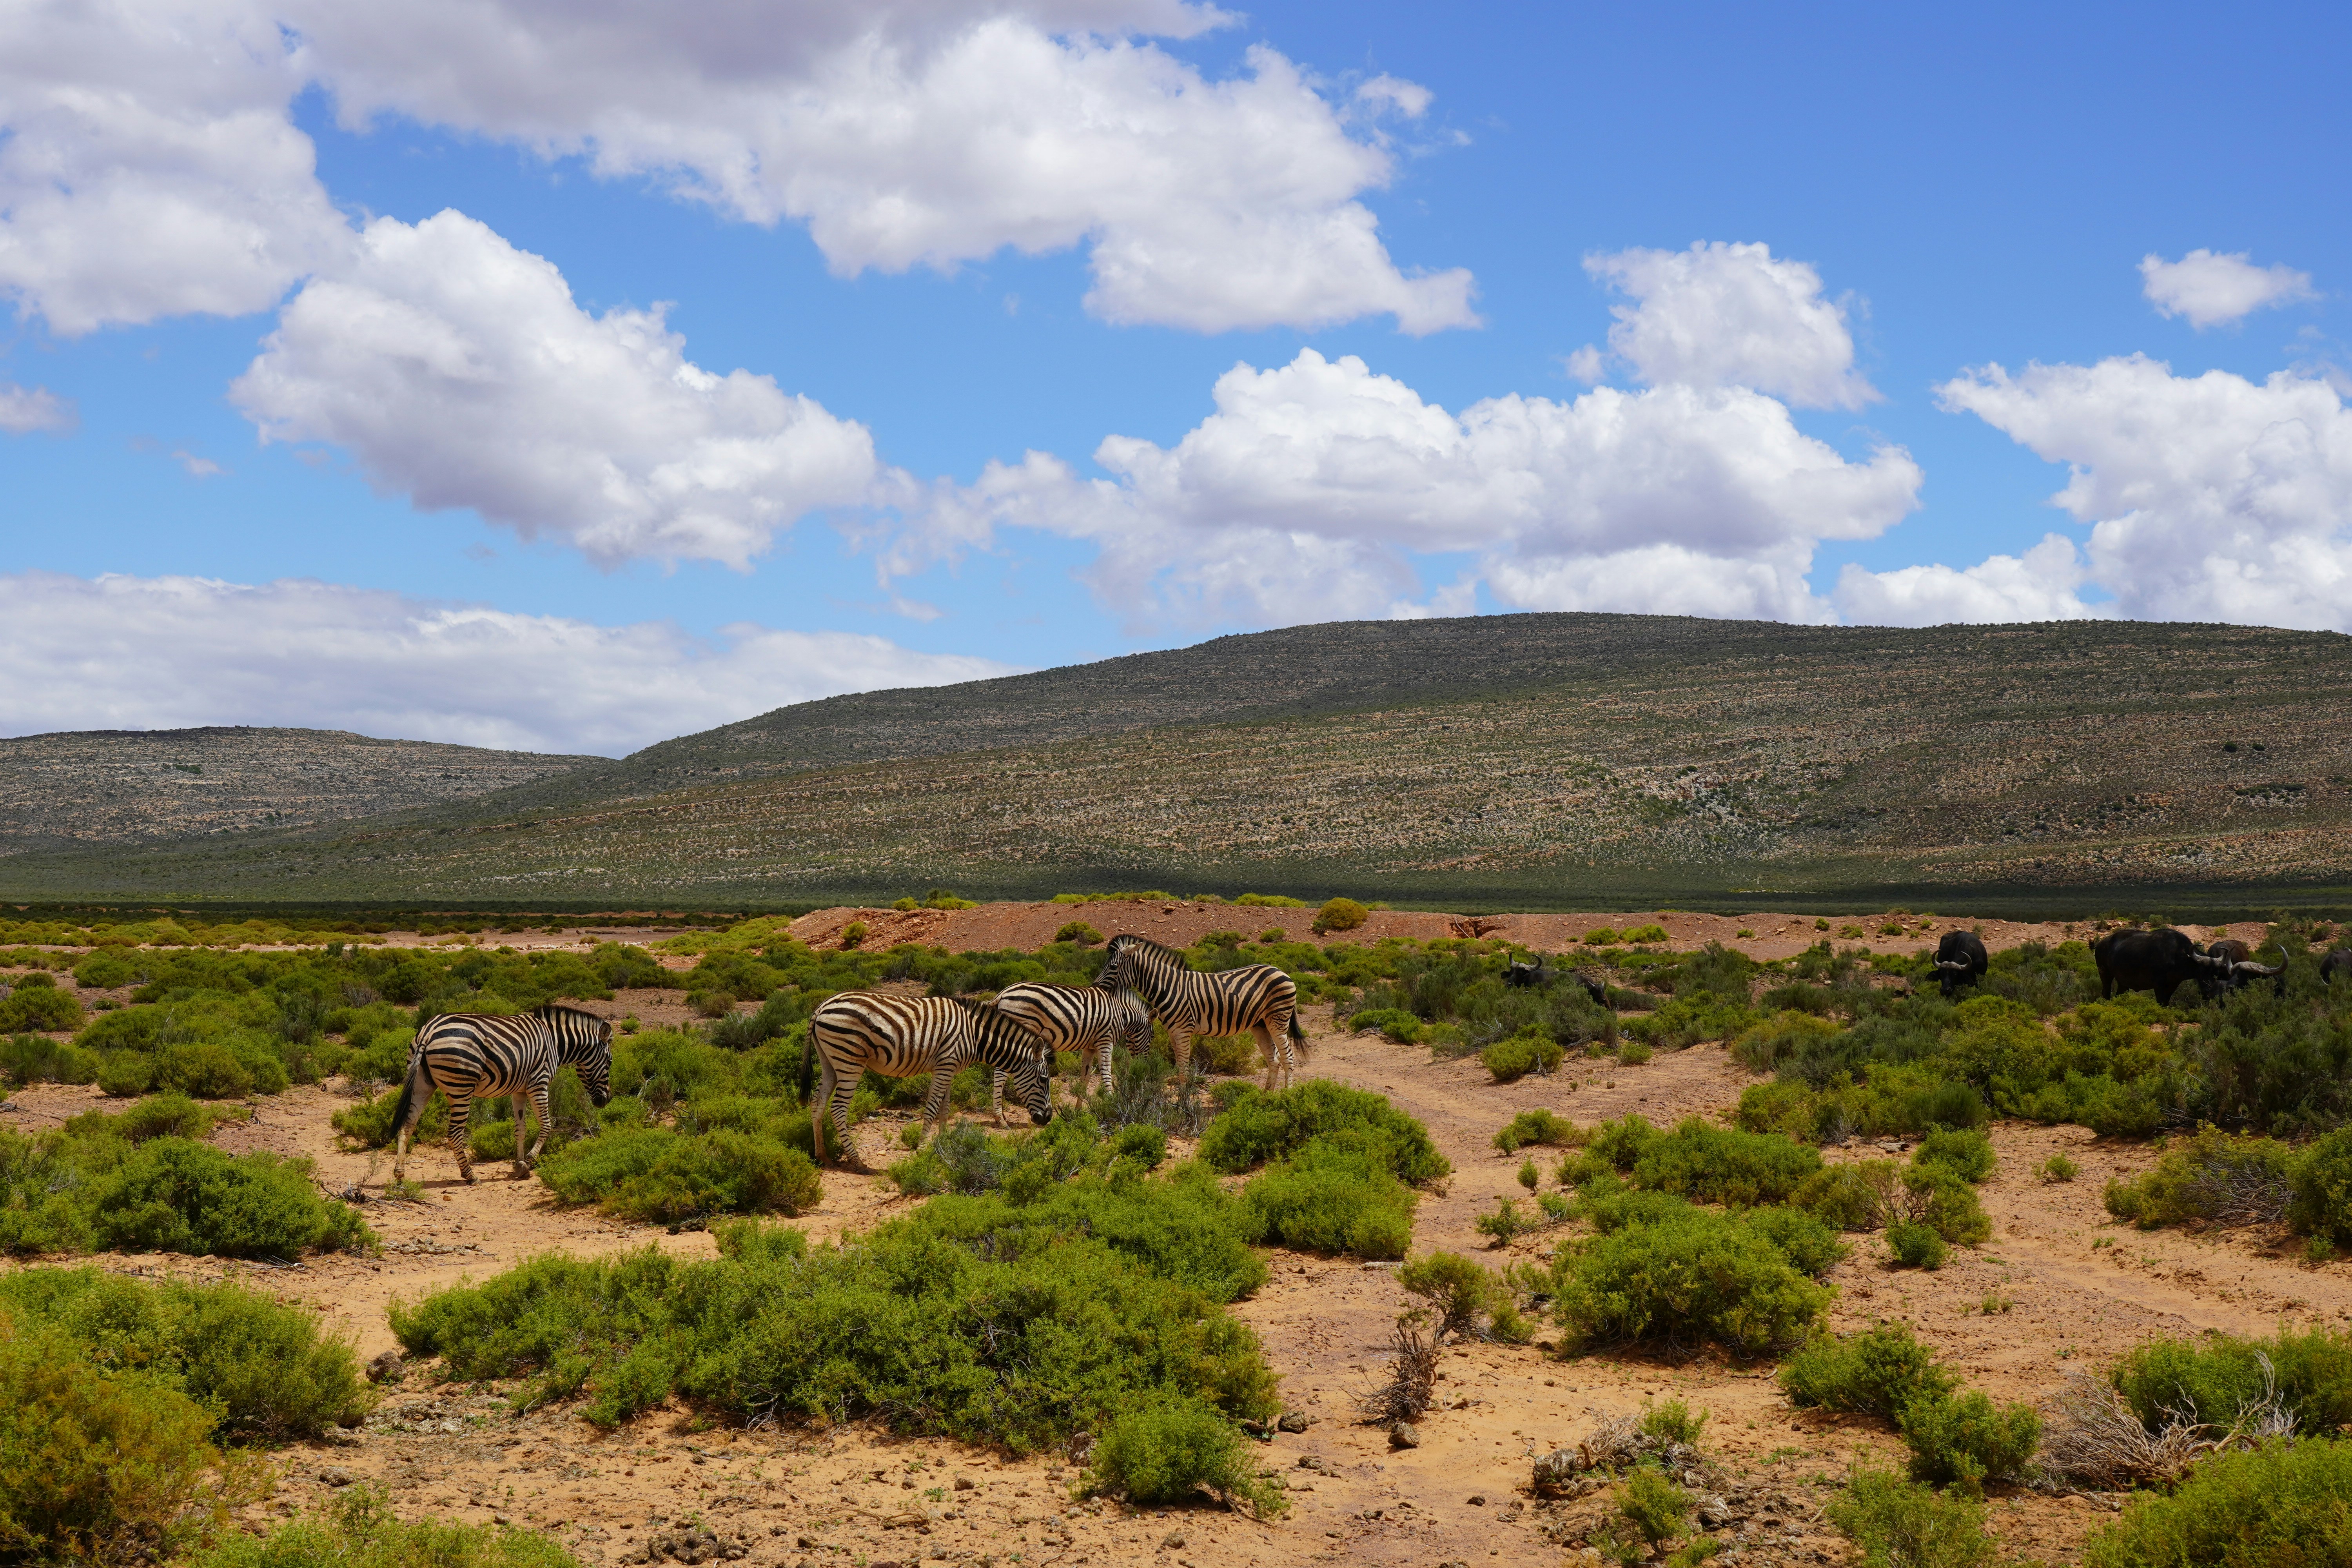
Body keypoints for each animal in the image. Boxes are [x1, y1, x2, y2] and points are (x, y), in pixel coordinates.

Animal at [390, 1003, 614, 1185]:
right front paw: (530, 1160)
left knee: (407, 1125)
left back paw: (400, 1173)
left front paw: (520, 1165)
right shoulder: (538, 1082)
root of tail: (429, 1029)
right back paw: (470, 1176)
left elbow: (520, 1129)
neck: (556, 1043)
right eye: (610, 1062)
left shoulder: (520, 1091)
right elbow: (547, 1125)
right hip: (462, 1087)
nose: (606, 1101)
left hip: (422, 1084)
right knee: (454, 1133)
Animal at [798, 992, 1052, 1165]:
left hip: (830, 1061)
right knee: (838, 1109)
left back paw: (822, 1156)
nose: (1048, 1119)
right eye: (1043, 1080)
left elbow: (945, 1110)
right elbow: (931, 1109)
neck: (975, 1035)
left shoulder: (949, 1068)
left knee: (818, 1103)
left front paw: (946, 1144)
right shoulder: (945, 1065)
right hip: (850, 1061)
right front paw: (922, 1149)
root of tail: (821, 1007)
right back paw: (857, 1161)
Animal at [988, 980, 1151, 1120]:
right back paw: (1000, 1119)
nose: (1145, 1065)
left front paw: (1077, 1112)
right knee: (1001, 1073)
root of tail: (1003, 993)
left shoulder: (1090, 1048)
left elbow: (1085, 1079)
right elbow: (1106, 1074)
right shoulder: (1105, 1040)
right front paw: (1113, 1106)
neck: (1122, 1015)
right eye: (1152, 1037)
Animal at [1097, 933, 1307, 1090]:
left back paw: (1285, 1098)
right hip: (1260, 1024)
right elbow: (1180, 1067)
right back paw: (1265, 1099)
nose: (1095, 987)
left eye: (1113, 967)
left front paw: (1185, 1102)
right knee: (1274, 1059)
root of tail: (1280, 970)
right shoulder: (1173, 1033)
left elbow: (1184, 1068)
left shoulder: (1184, 1031)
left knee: (1288, 1058)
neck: (1170, 988)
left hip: (1278, 1019)